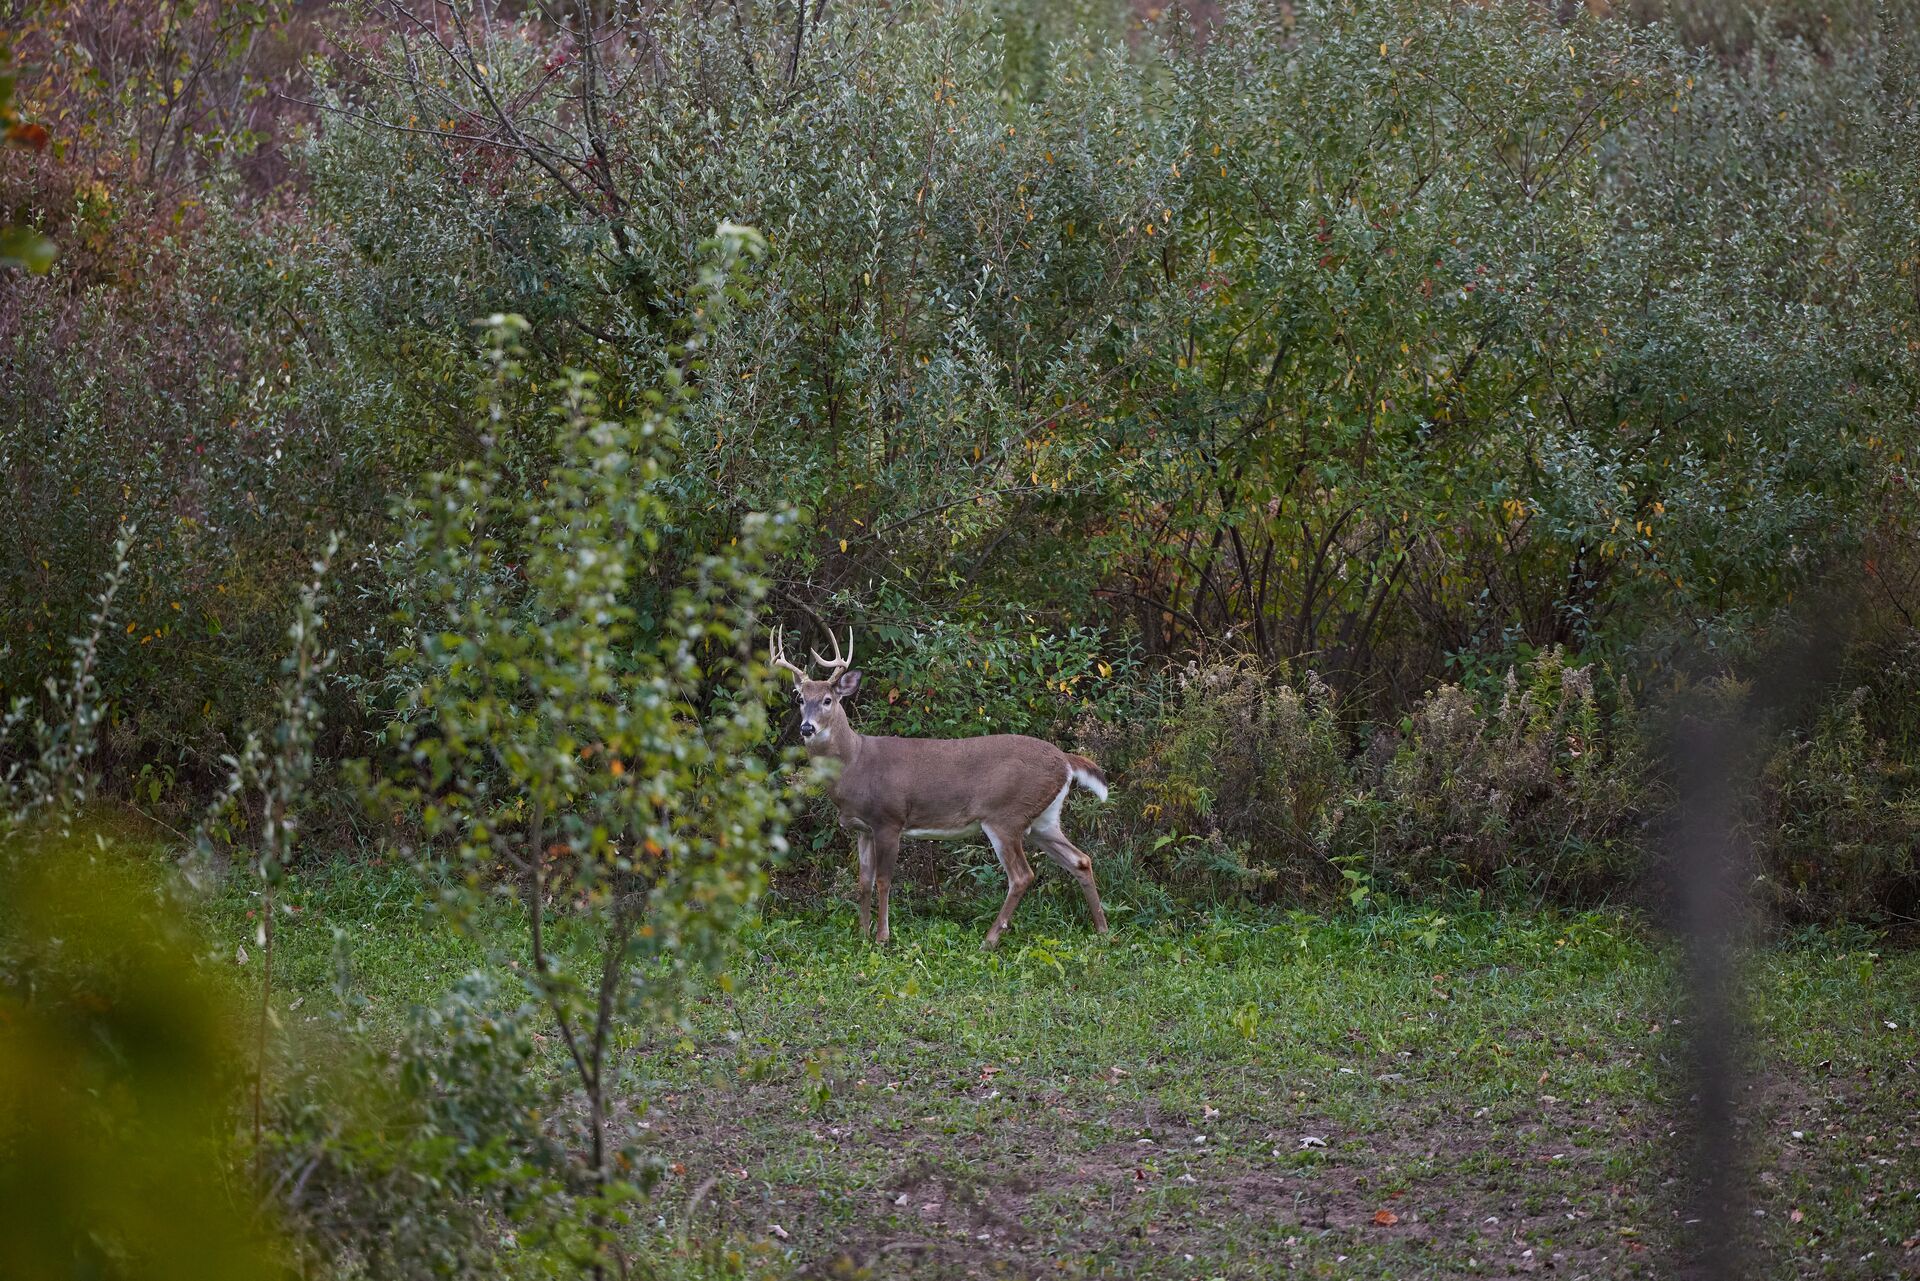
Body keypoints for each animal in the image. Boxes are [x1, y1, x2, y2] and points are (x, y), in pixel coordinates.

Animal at [770, 626, 1111, 950]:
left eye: (828, 700)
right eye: (801, 699)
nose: (807, 728)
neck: (855, 762)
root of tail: (1065, 760)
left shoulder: (889, 820)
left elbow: (883, 881)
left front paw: (882, 937)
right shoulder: (861, 828)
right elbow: (863, 881)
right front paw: (863, 934)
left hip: (1006, 816)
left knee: (1022, 875)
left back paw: (990, 939)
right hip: (1043, 819)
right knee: (1080, 860)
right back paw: (1102, 929)